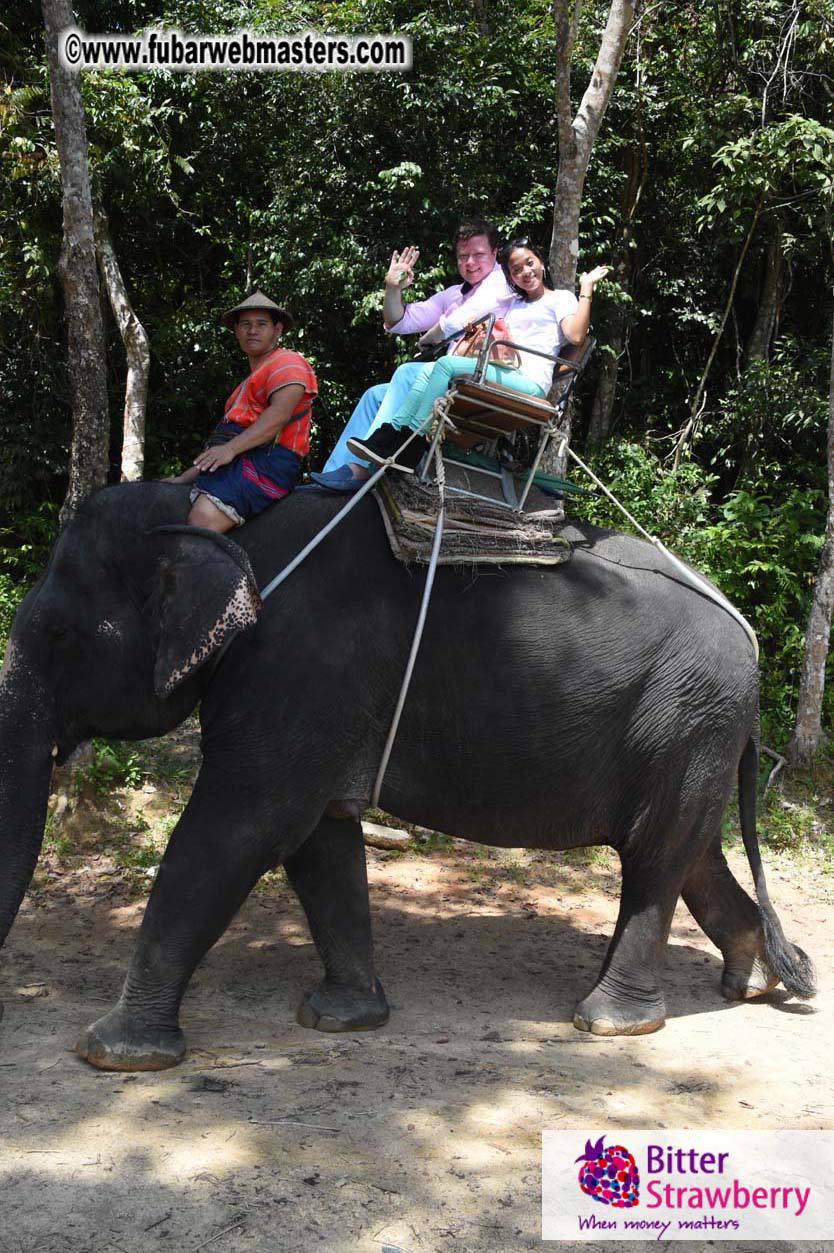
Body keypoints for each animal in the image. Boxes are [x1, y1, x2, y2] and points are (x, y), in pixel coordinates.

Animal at [0, 481, 814, 1071]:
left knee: (654, 859)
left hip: (687, 714)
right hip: (693, 733)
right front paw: (341, 1018)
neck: (209, 515)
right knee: (691, 852)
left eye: (58, 634)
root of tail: (749, 641)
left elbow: (239, 830)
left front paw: (111, 1053)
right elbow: (319, 838)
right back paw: (749, 980)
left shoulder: (297, 671)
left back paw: (610, 1024)